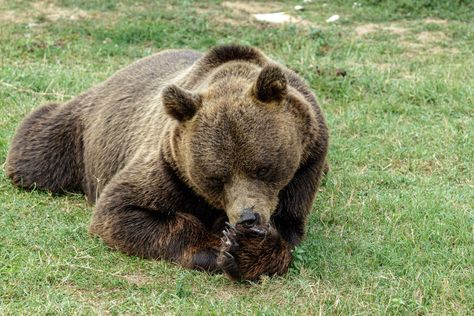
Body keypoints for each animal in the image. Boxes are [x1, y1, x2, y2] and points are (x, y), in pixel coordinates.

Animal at [5, 45, 328, 280]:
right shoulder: (169, 166)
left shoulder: (307, 163)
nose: (247, 218)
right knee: (37, 153)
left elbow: (289, 227)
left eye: (263, 168)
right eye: (216, 178)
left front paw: (248, 247)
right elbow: (121, 211)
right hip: (79, 131)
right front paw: (224, 246)